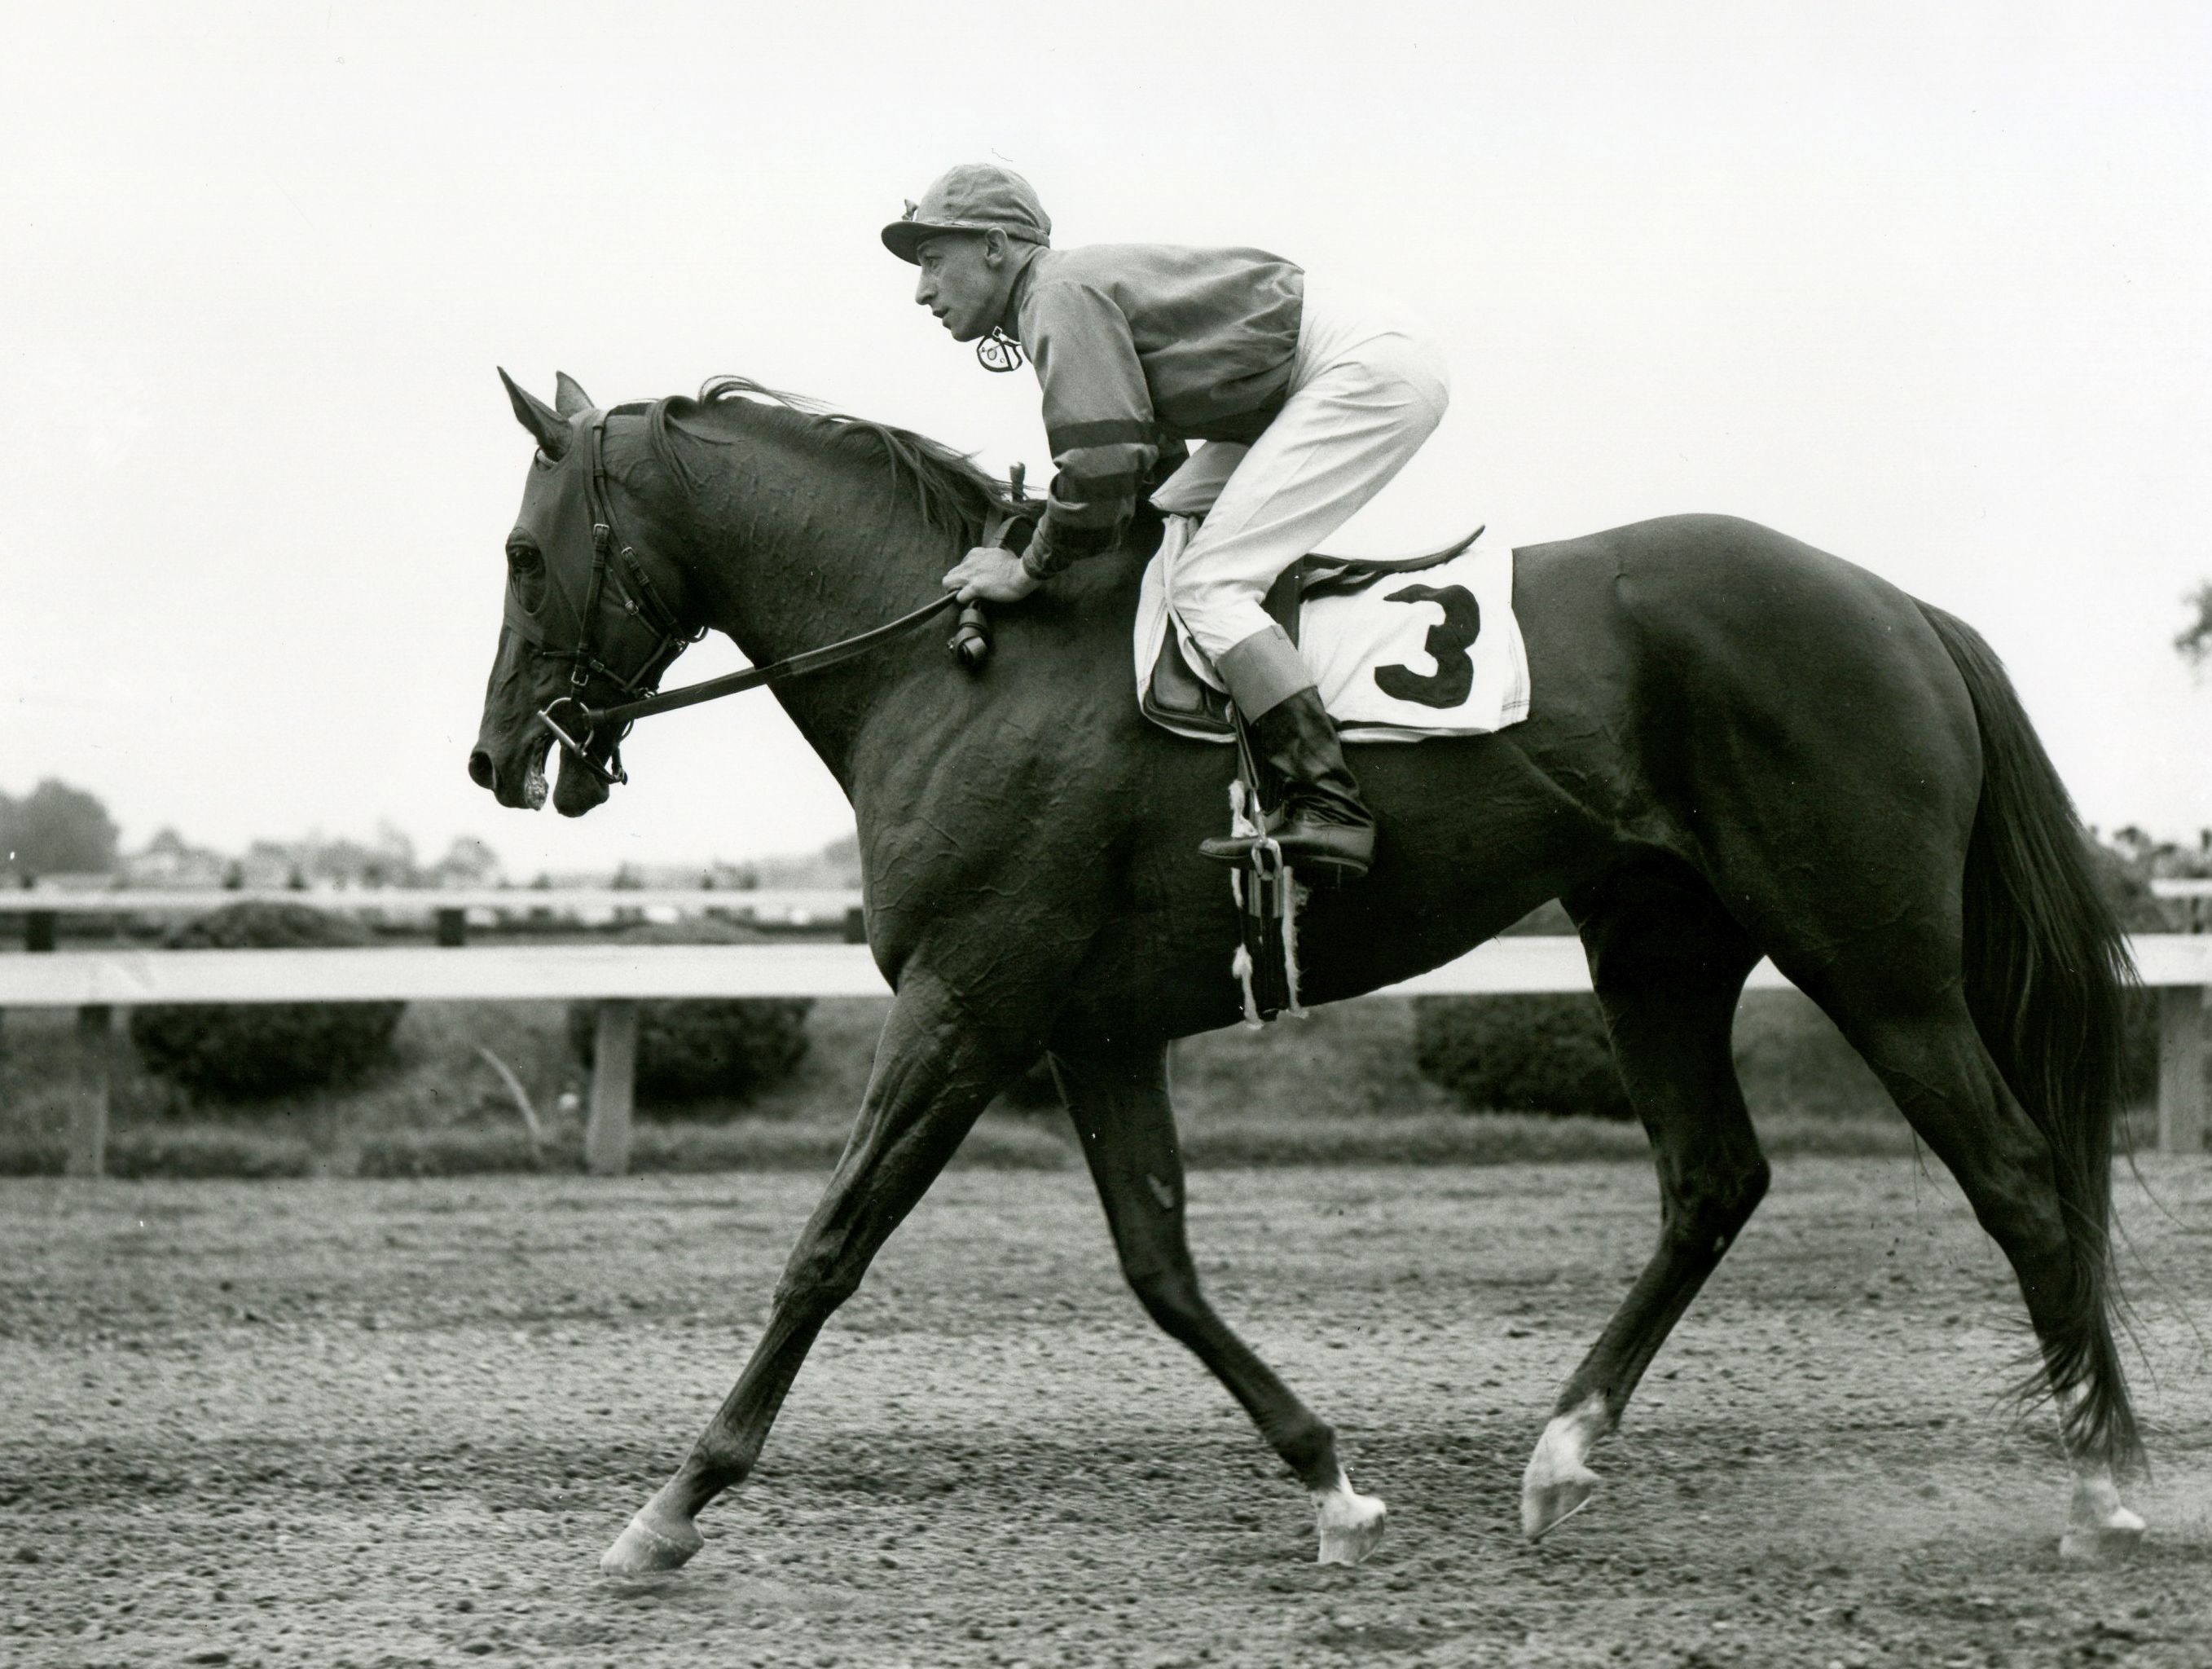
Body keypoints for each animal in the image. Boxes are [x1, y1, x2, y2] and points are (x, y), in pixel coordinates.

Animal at [466, 369, 2141, 1567]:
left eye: (524, 551)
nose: (494, 758)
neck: (954, 667)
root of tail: (1901, 607)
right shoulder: (1090, 1030)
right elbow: (1160, 1266)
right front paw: (1330, 1478)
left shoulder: (966, 1001)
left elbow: (828, 1244)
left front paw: (668, 1508)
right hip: (1653, 943)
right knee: (1713, 1178)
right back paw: (1559, 1457)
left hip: (1873, 952)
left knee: (2014, 1175)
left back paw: (2105, 1486)